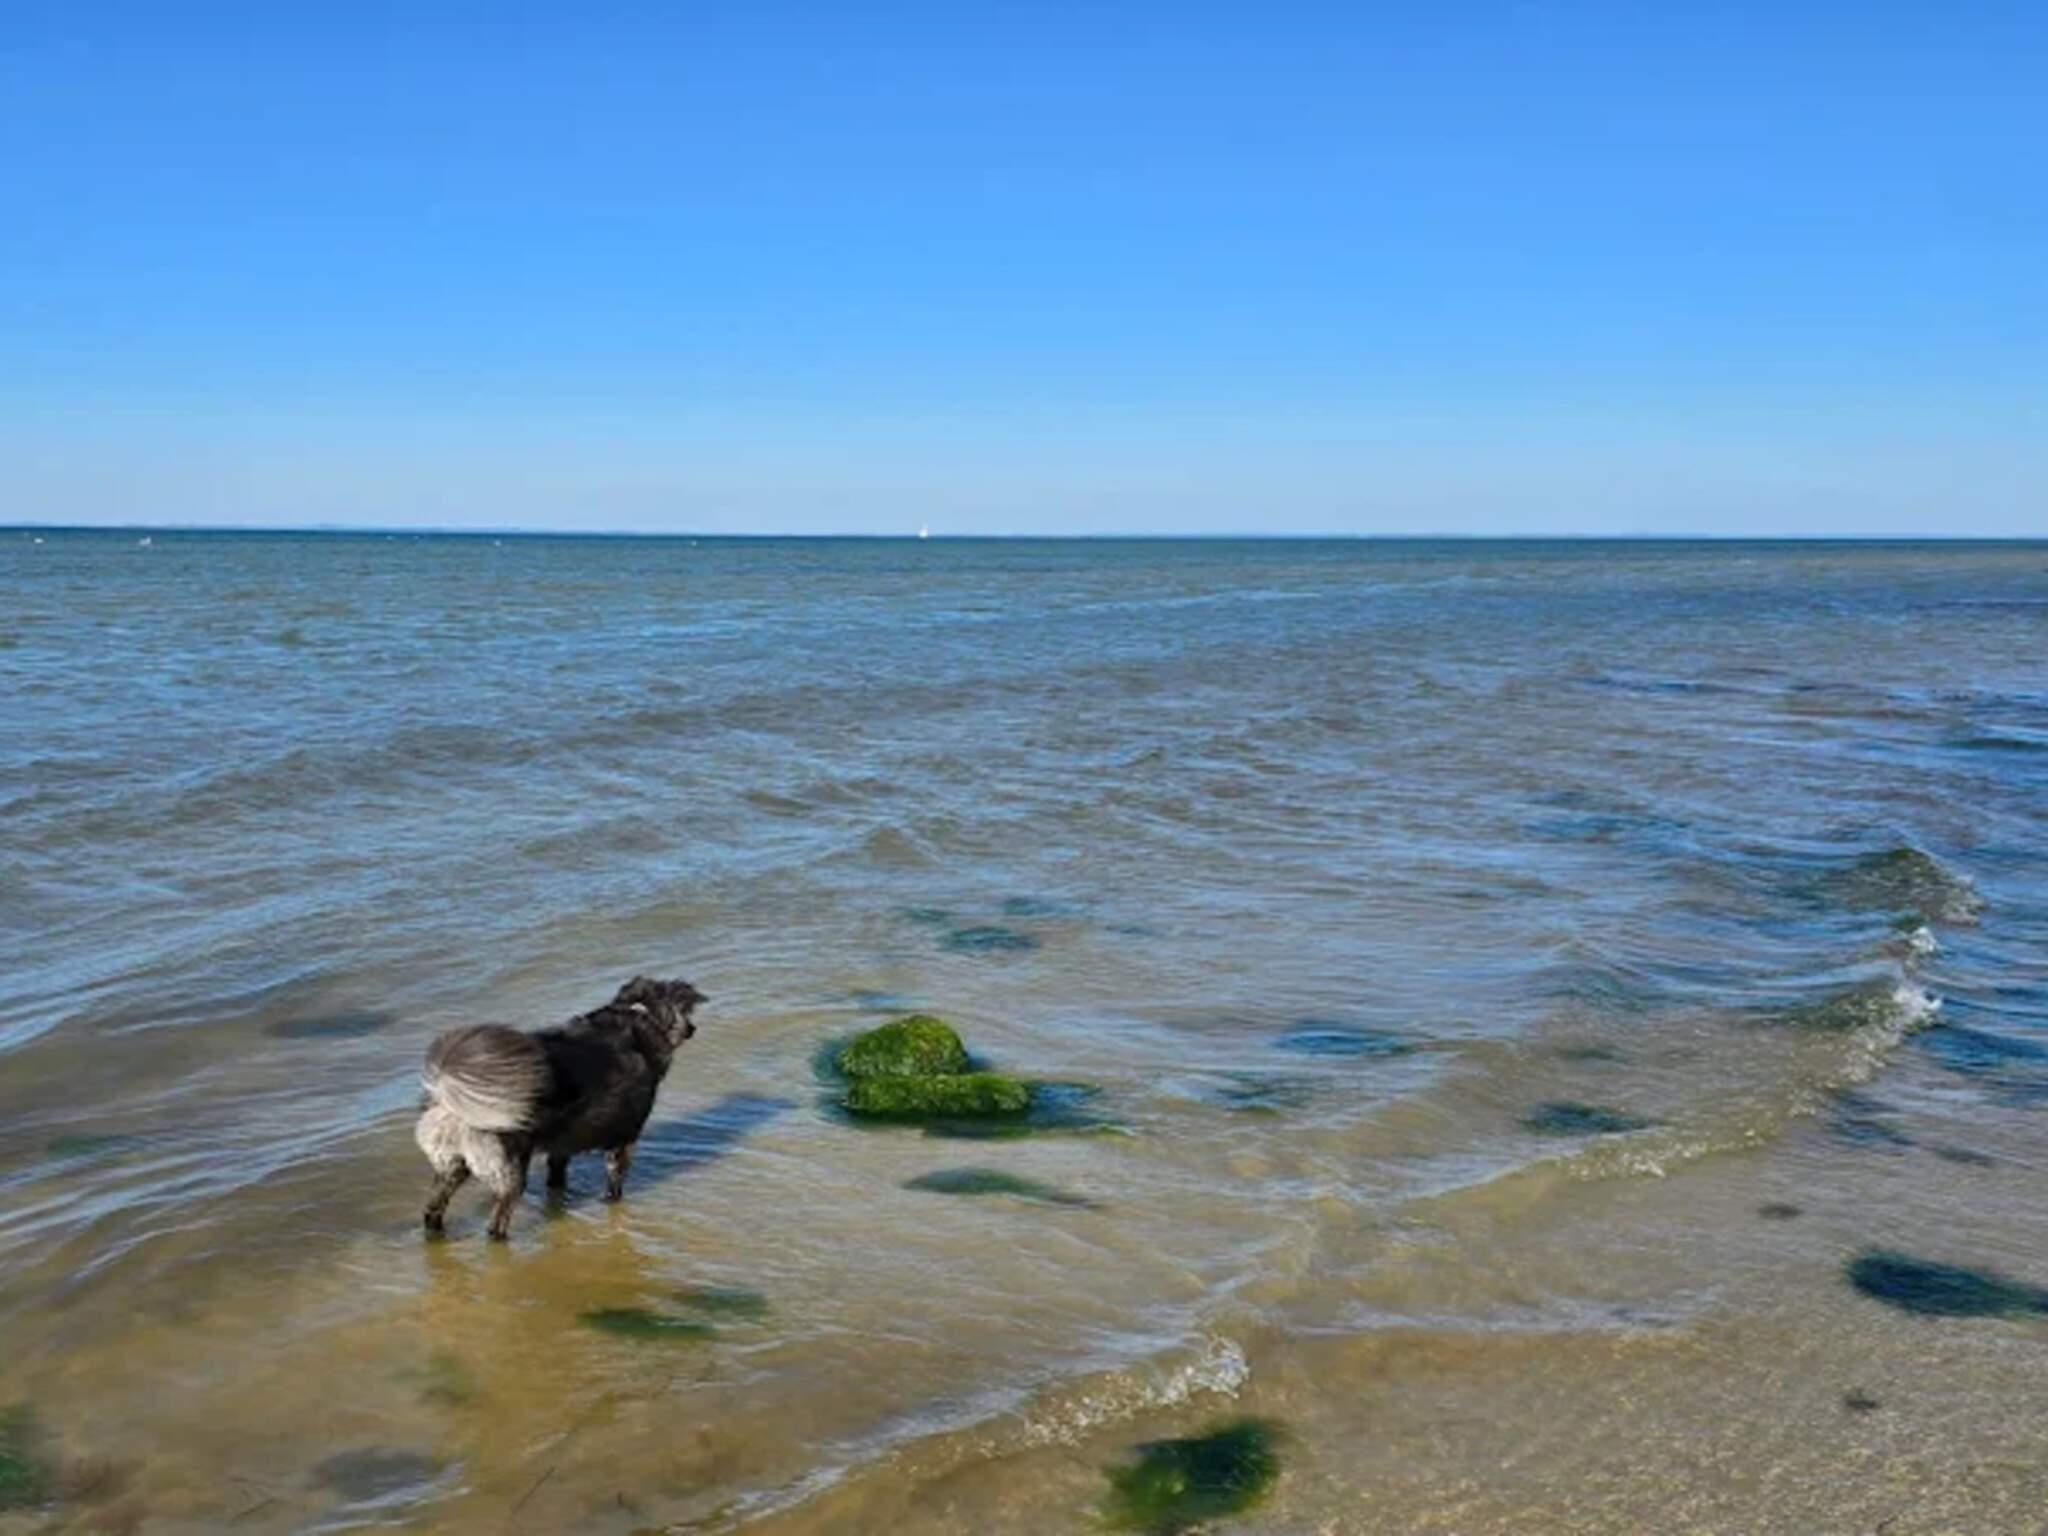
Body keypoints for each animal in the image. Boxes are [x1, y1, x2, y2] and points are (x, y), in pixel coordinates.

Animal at [415, 975, 705, 1239]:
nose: (693, 1028)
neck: (637, 1016)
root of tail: (449, 1101)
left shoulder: (561, 1147)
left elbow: (556, 1180)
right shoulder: (623, 1141)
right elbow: (614, 1186)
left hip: (452, 1166)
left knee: (432, 1211)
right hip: (509, 1171)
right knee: (496, 1223)